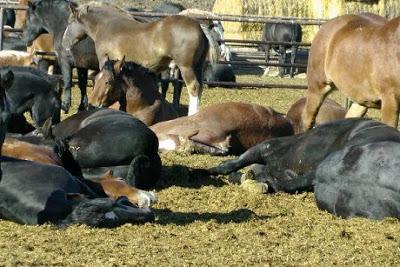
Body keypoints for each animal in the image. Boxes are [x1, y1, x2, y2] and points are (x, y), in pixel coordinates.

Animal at [61, 1, 214, 116]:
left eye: (70, 22)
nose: (64, 43)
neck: (108, 27)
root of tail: (200, 28)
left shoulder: (105, 62)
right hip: (197, 67)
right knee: (199, 88)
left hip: (186, 68)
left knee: (193, 88)